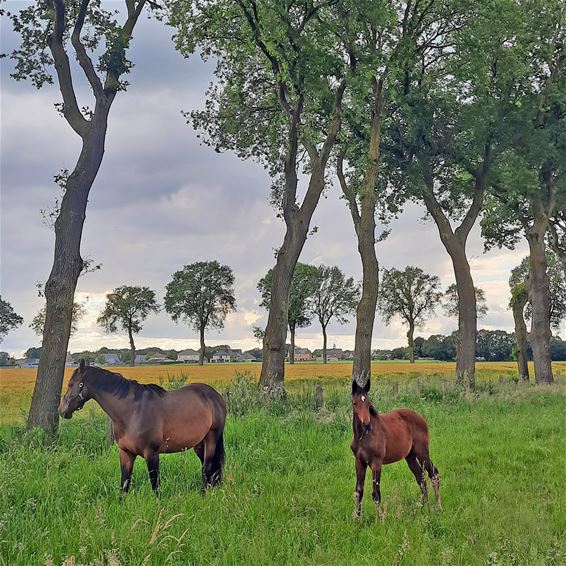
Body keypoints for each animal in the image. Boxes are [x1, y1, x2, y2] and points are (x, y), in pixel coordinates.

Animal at [57, 364, 226, 496]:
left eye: (71, 384)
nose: (62, 410)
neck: (132, 412)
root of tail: (215, 396)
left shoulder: (151, 454)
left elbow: (155, 486)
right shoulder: (126, 453)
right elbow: (124, 485)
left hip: (211, 439)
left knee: (207, 468)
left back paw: (203, 495)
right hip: (199, 444)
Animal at [350, 380, 444, 520]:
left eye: (368, 403)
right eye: (355, 403)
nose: (366, 424)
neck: (363, 436)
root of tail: (421, 417)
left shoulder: (376, 463)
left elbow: (376, 493)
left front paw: (380, 519)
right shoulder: (359, 462)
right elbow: (359, 491)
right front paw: (357, 518)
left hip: (422, 453)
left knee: (434, 474)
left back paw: (438, 506)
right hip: (410, 457)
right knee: (420, 478)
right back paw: (422, 506)